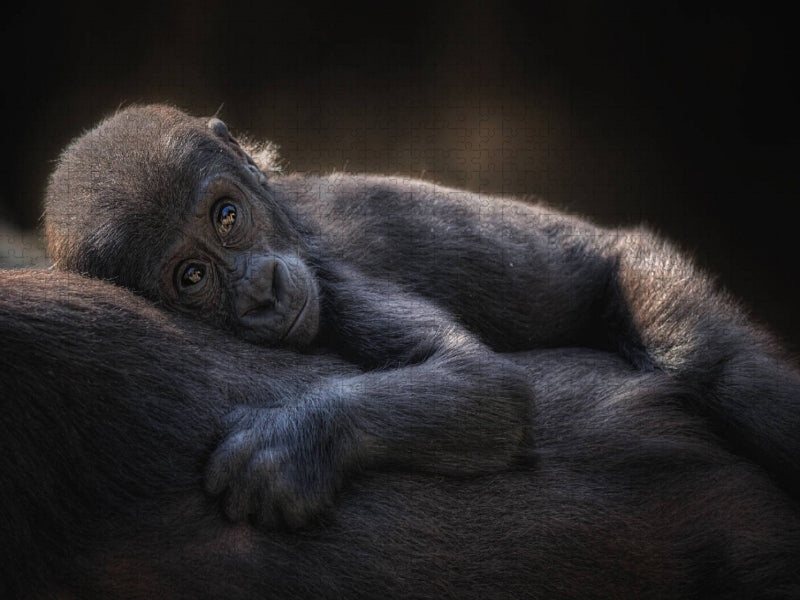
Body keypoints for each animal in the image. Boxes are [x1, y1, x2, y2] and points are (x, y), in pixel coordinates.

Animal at [44, 105, 800, 526]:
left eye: (227, 216)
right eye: (192, 277)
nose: (261, 290)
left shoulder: (332, 277)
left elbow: (481, 382)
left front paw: (299, 441)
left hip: (644, 263)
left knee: (716, 370)